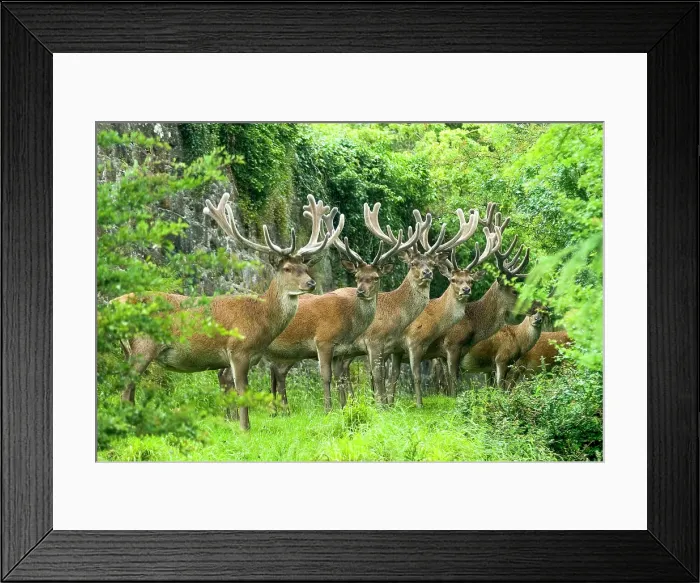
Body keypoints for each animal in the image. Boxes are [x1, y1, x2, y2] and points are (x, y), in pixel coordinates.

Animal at [115, 191, 343, 431]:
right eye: (287, 268)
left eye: (306, 268)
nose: (311, 283)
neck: (260, 321)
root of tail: (112, 303)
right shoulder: (238, 350)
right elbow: (242, 392)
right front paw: (245, 428)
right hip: (143, 345)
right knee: (125, 391)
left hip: (128, 350)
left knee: (129, 391)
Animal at [258, 206, 419, 413]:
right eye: (357, 277)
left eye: (376, 277)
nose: (360, 291)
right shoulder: (325, 341)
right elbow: (330, 376)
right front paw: (329, 409)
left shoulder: (343, 350)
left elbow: (342, 377)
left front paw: (345, 408)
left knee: (276, 373)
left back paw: (278, 411)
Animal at [333, 204, 479, 406]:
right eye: (413, 263)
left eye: (432, 264)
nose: (427, 273)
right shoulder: (389, 342)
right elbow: (391, 376)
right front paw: (411, 404)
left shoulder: (393, 348)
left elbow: (390, 376)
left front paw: (388, 404)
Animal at [387, 204, 503, 407]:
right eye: (453, 279)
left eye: (471, 281)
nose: (465, 290)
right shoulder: (449, 345)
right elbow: (451, 378)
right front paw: (449, 401)